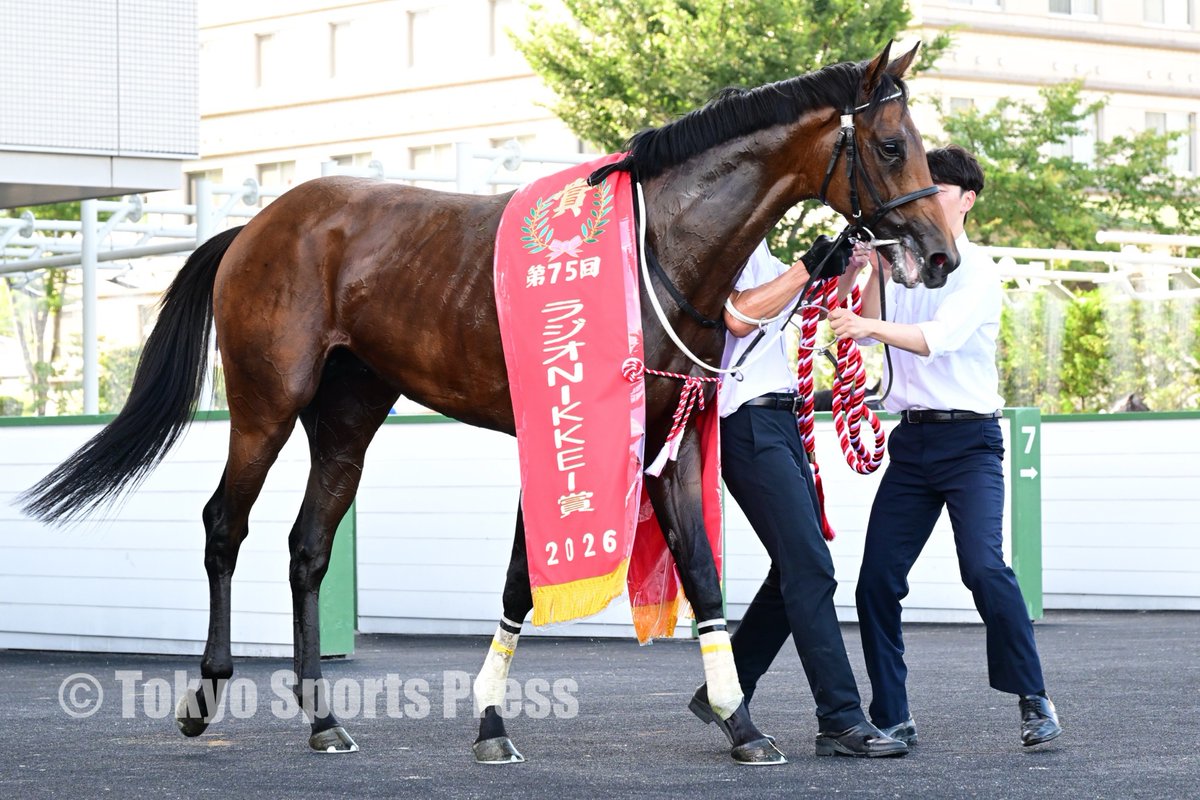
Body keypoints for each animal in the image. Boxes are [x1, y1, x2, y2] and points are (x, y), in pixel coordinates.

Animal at [20, 41, 957, 765]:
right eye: (887, 144)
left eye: (917, 142)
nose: (940, 254)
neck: (654, 250)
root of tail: (257, 226)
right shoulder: (559, 434)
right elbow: (521, 578)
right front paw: (493, 724)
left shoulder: (666, 435)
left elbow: (699, 571)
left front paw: (742, 726)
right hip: (265, 402)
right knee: (225, 524)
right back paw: (205, 697)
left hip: (349, 415)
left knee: (307, 548)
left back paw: (323, 720)